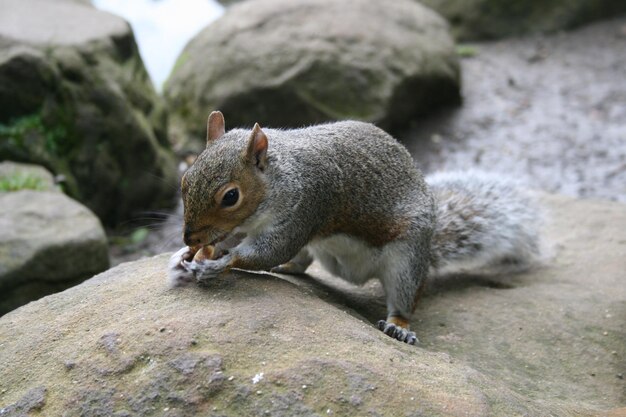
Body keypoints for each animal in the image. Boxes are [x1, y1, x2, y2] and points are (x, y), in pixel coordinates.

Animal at [168, 109, 540, 342]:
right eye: (185, 180)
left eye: (231, 196)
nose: (189, 236)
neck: (280, 176)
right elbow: (232, 240)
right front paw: (187, 255)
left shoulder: (308, 206)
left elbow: (268, 249)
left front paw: (218, 263)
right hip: (318, 246)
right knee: (302, 262)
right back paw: (288, 269)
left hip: (406, 259)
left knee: (405, 296)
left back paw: (399, 326)